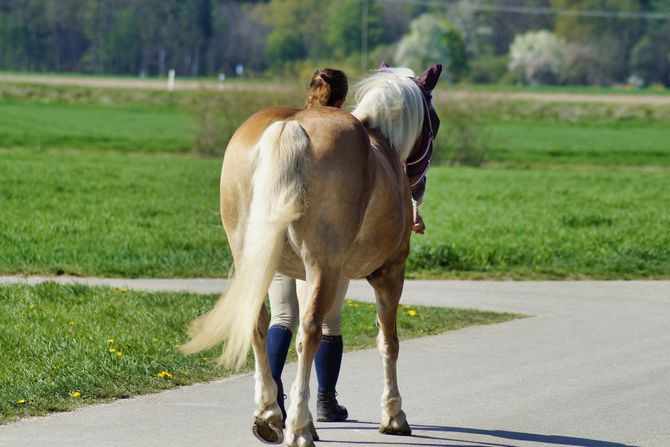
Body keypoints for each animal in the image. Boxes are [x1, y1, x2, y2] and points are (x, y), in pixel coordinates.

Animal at [181, 64, 444, 447]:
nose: (419, 190)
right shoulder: (390, 273)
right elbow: (388, 342)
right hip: (324, 267)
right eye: (434, 121)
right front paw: (394, 415)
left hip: (259, 262)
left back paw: (270, 415)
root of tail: (290, 126)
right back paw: (299, 428)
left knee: (261, 322)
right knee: (309, 333)